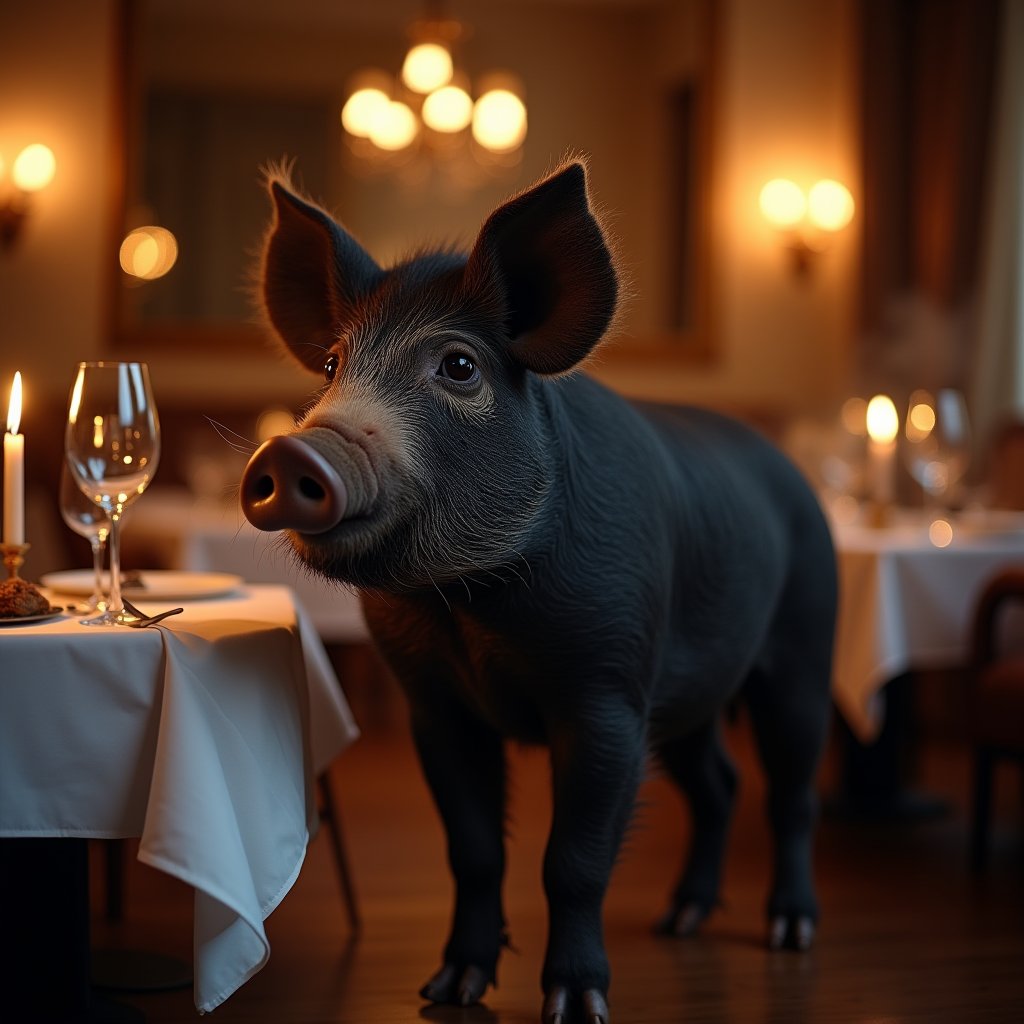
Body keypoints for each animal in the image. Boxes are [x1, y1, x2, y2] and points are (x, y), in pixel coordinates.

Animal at [240, 160, 836, 1024]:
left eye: (459, 366)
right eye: (330, 366)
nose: (292, 452)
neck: (472, 604)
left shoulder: (608, 692)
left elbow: (574, 860)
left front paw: (577, 1007)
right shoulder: (437, 705)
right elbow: (474, 849)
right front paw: (447, 992)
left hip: (803, 647)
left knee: (790, 792)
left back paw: (791, 934)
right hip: (688, 693)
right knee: (720, 785)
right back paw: (679, 920)